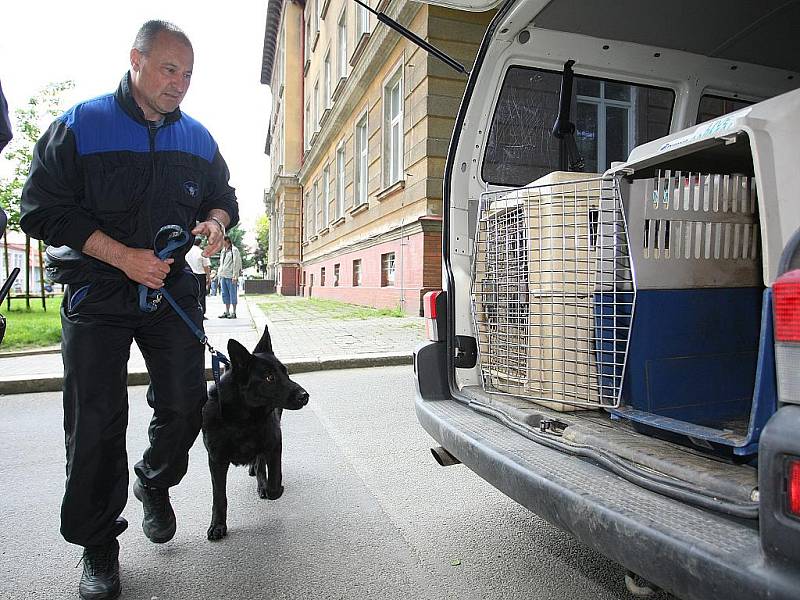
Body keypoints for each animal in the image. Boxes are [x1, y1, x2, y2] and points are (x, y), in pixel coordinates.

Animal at [202, 326, 308, 540]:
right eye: (269, 378)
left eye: (286, 372)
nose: (305, 396)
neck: (243, 420)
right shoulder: (216, 460)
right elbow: (219, 497)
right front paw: (217, 525)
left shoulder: (274, 444)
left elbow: (274, 482)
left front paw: (271, 487)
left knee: (260, 463)